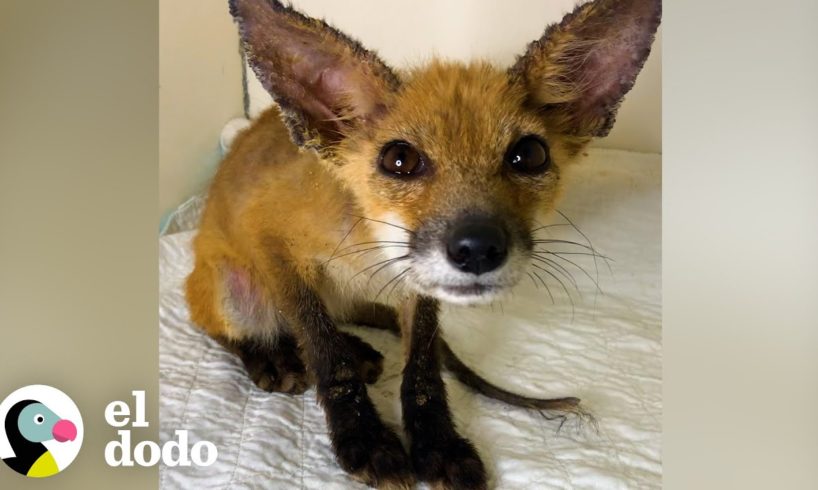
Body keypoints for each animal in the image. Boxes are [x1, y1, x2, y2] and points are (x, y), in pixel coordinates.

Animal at [185, 0, 656, 486]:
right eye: (400, 160)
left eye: (529, 155)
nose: (478, 248)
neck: (365, 243)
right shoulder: (272, 242)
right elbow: (325, 352)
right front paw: (366, 438)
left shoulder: (419, 285)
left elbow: (423, 367)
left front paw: (437, 443)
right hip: (231, 290)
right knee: (227, 326)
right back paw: (271, 357)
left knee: (339, 319)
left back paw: (355, 347)